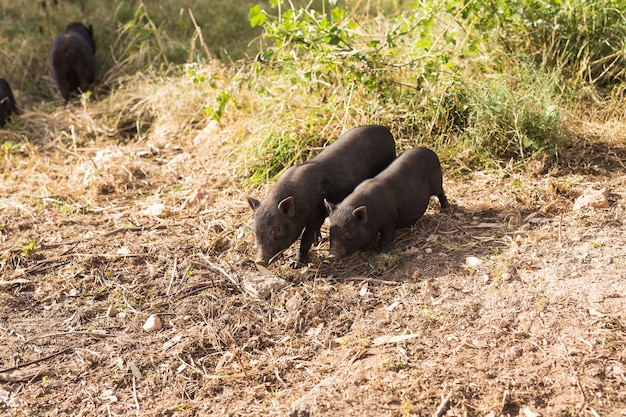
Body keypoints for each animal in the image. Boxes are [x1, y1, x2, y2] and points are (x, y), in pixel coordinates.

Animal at [245, 124, 394, 266]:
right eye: (256, 230)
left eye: (276, 230)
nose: (259, 260)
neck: (299, 200)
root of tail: (386, 130)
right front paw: (318, 242)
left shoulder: (317, 211)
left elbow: (306, 237)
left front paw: (296, 264)